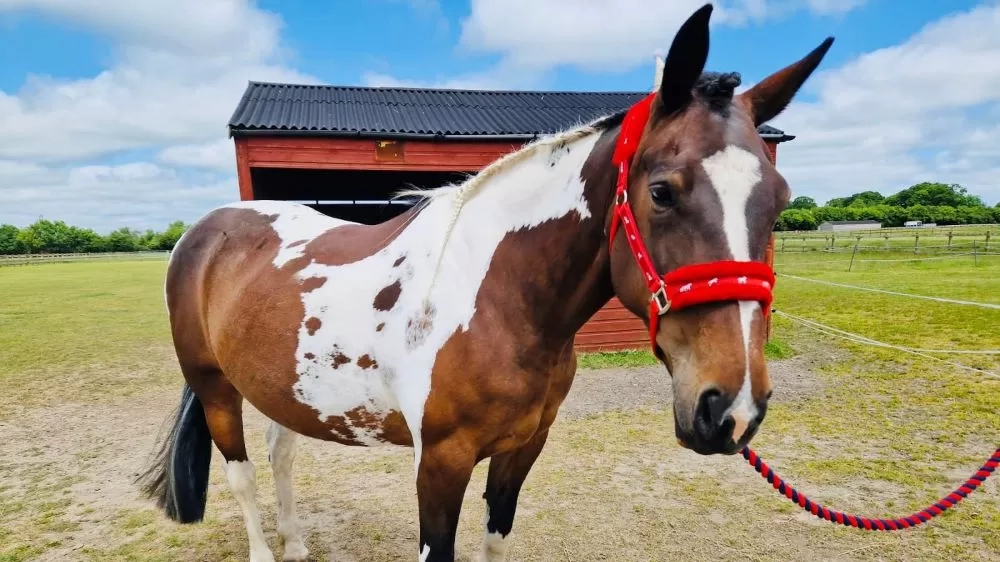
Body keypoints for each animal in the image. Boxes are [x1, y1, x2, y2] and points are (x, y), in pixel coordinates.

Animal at [135, 4, 833, 561]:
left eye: (778, 200)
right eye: (662, 191)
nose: (732, 408)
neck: (499, 300)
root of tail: (207, 231)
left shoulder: (521, 450)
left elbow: (496, 535)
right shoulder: (440, 464)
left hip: (281, 387)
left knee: (282, 455)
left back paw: (298, 545)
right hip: (216, 387)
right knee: (243, 475)